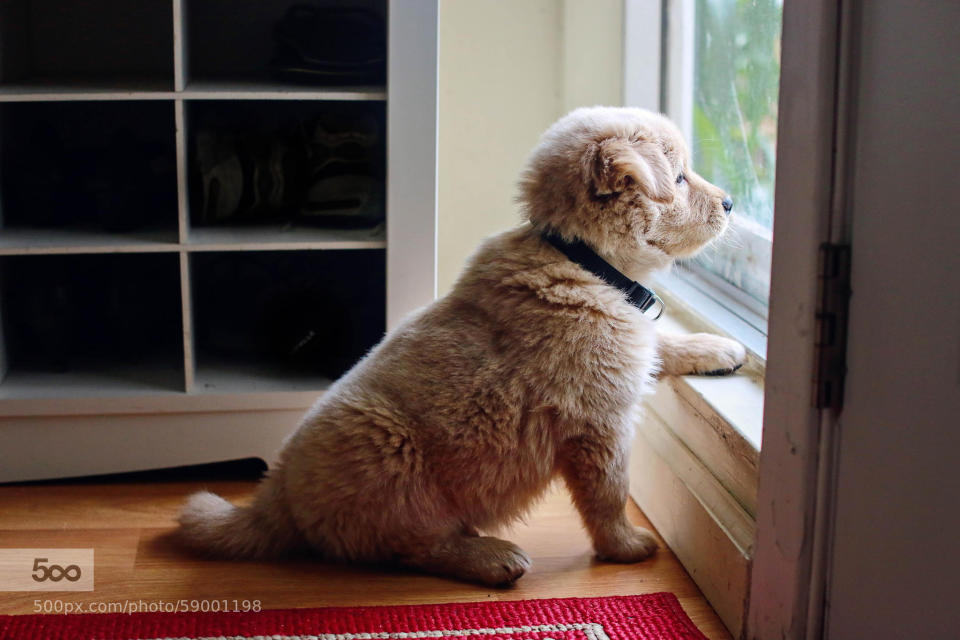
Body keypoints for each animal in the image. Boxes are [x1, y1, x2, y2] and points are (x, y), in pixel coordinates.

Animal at [176, 105, 748, 584]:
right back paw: (490, 558)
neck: (582, 260)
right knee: (410, 545)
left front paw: (718, 348)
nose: (730, 202)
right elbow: (609, 493)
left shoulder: (629, 348)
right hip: (391, 456)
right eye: (679, 178)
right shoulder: (596, 422)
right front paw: (625, 546)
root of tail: (275, 499)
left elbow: (661, 342)